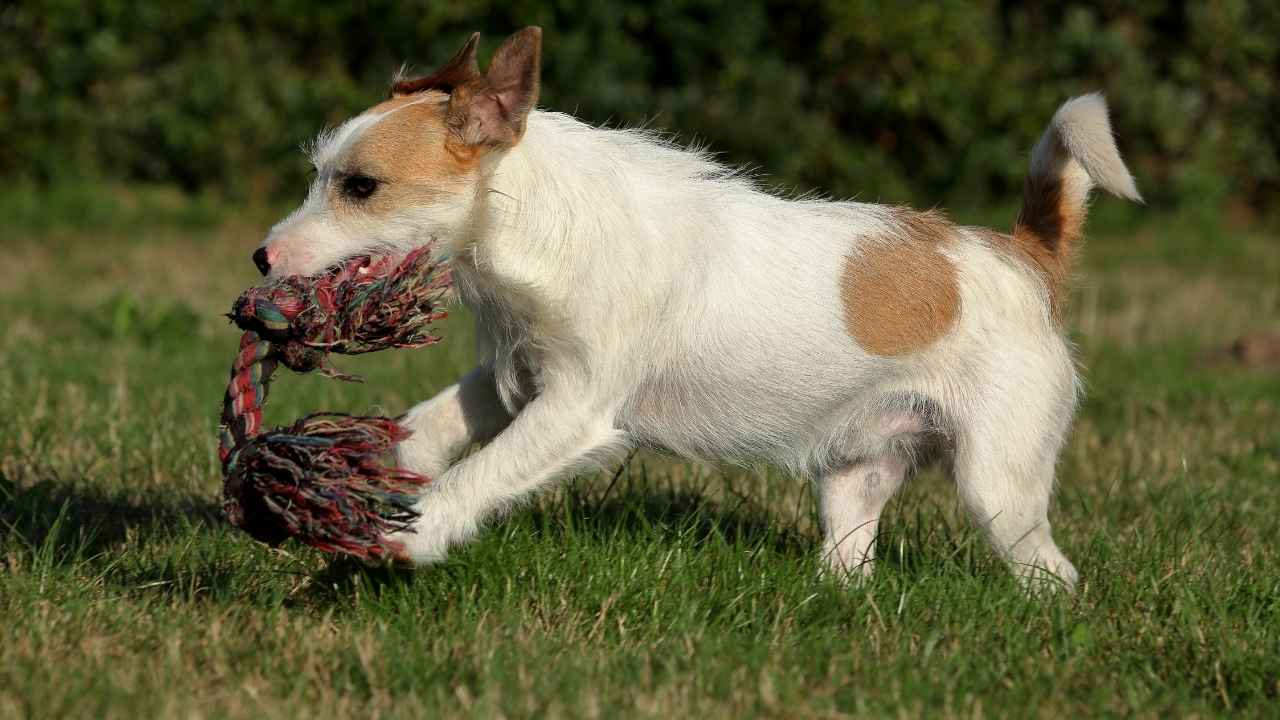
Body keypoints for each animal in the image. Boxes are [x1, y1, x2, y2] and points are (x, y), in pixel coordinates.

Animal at [257, 28, 1141, 589]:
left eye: (361, 187)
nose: (262, 259)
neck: (534, 218)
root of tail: (1023, 256)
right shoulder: (513, 376)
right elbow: (437, 420)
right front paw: (371, 459)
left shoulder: (574, 408)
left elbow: (481, 474)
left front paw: (406, 532)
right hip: (856, 479)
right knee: (851, 561)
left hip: (1000, 488)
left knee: (1053, 574)